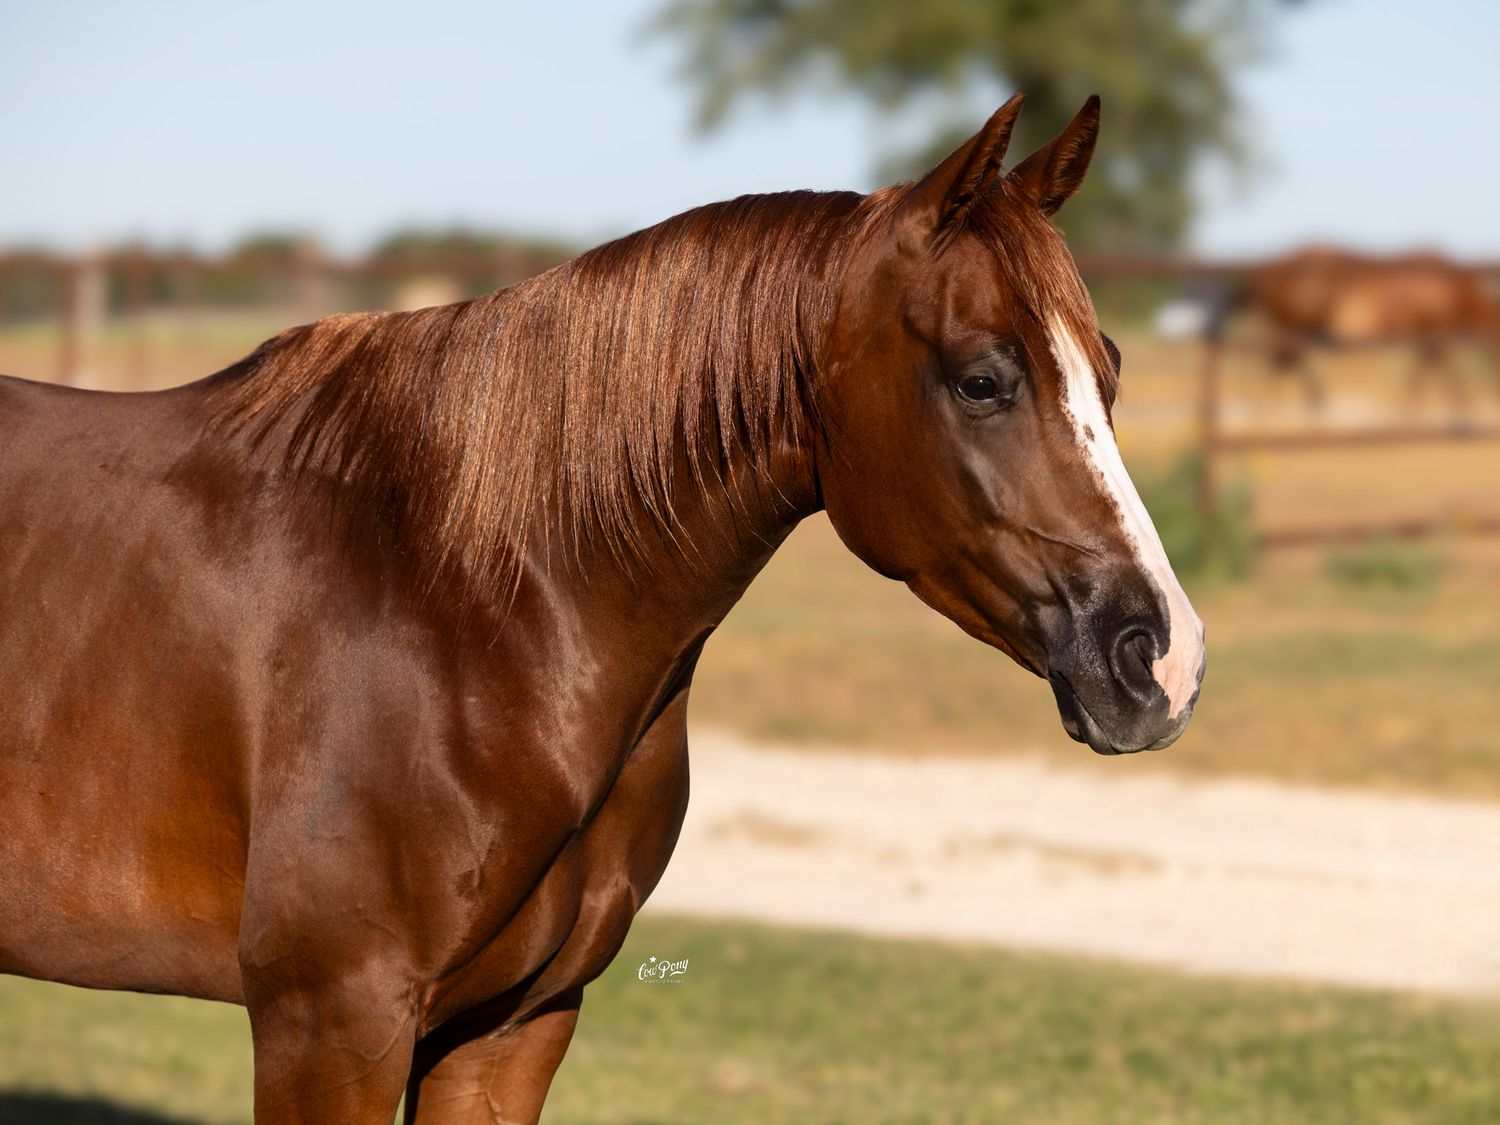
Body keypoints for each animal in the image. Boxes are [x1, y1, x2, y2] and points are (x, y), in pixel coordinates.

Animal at [0, 94, 1205, 1123]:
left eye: (1110, 370)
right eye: (983, 379)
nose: (1163, 661)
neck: (457, 602)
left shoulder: (513, 1026)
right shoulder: (328, 1023)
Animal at [1239, 245, 1500, 407]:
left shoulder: (1430, 333)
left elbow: (1426, 368)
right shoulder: (1435, 331)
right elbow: (1439, 369)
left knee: (1285, 362)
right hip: (1292, 326)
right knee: (1285, 361)